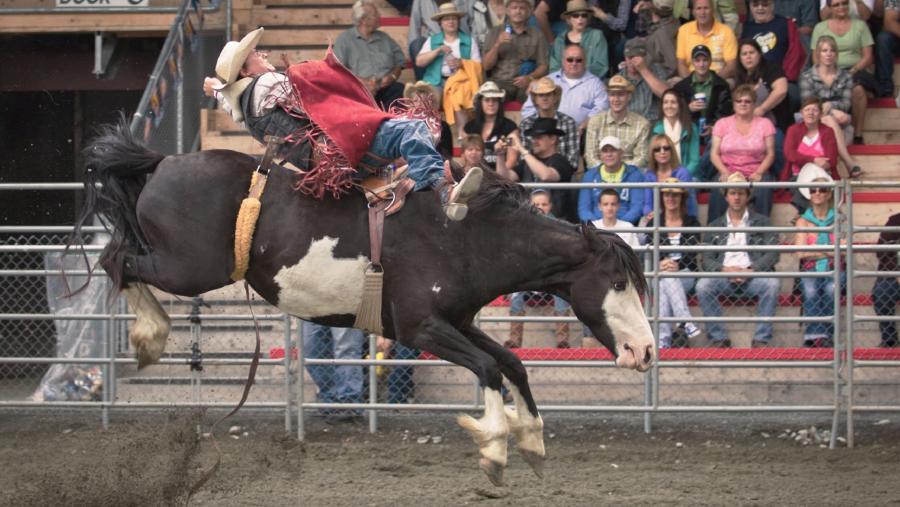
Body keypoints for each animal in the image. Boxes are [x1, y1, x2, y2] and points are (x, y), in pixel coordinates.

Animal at [75, 122, 652, 484]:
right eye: (619, 283)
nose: (646, 351)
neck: (465, 235)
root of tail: (162, 162)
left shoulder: (457, 321)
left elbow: (511, 363)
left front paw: (530, 442)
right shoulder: (421, 328)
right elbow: (489, 368)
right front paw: (493, 447)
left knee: (118, 258)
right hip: (188, 268)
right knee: (116, 259)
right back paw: (149, 336)